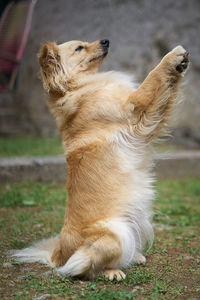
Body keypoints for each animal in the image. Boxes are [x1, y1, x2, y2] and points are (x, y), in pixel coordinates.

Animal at [12, 38, 189, 280]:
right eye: (79, 48)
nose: (106, 40)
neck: (80, 87)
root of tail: (58, 255)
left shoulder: (149, 117)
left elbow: (165, 86)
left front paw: (179, 66)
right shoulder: (135, 106)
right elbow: (154, 75)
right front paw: (173, 57)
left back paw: (135, 257)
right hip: (114, 235)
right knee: (86, 266)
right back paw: (112, 271)